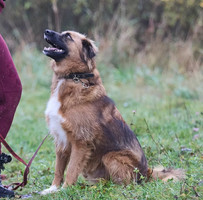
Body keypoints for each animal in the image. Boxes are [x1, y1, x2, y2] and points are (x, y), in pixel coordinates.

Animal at [40, 28, 184, 195]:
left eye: (68, 36)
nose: (46, 31)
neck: (73, 77)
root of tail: (146, 173)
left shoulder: (80, 142)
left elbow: (70, 170)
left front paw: (65, 190)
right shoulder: (61, 141)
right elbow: (58, 169)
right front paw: (53, 189)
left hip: (111, 156)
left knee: (125, 184)